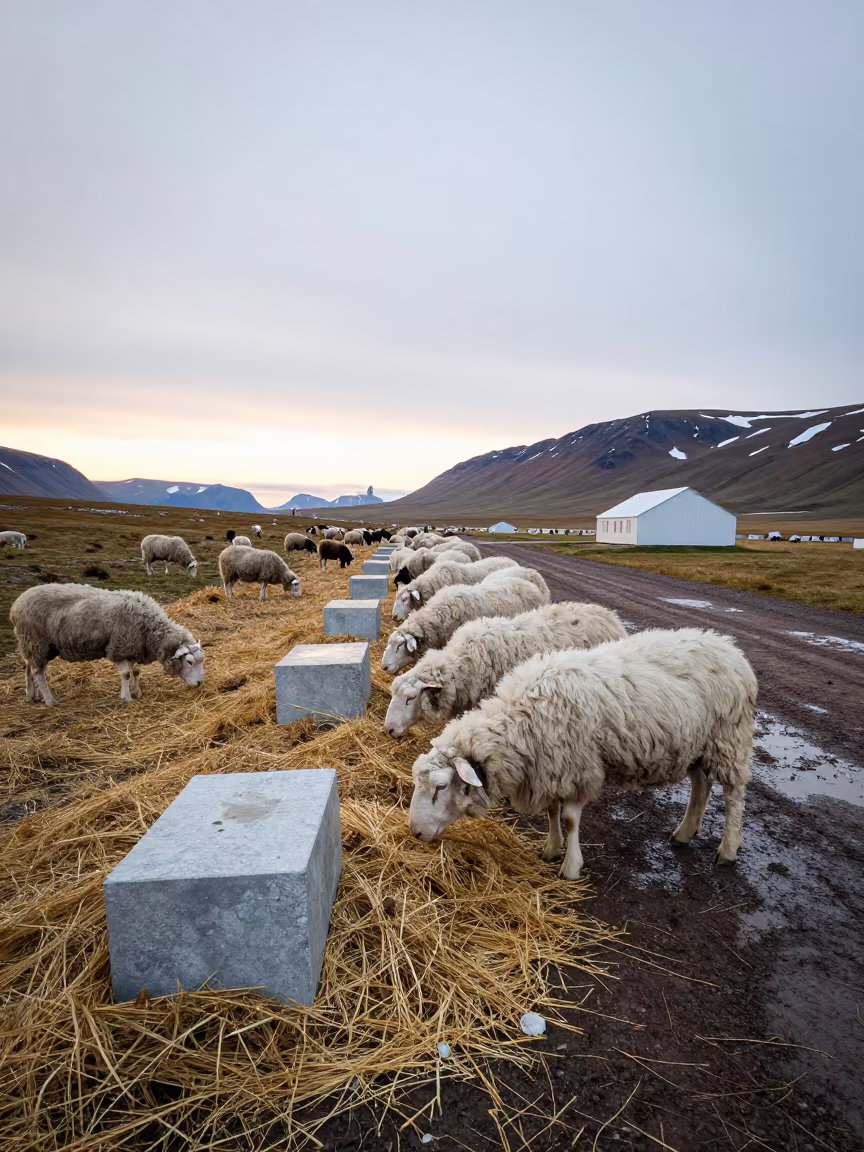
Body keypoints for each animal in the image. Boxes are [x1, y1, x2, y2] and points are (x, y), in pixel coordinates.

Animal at [10, 583, 204, 706]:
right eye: (189, 662)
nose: (200, 683)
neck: (148, 628)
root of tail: (16, 605)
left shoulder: (131, 647)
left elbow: (135, 671)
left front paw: (136, 692)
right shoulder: (118, 647)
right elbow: (126, 674)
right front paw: (126, 697)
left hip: (35, 645)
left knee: (29, 667)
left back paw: (31, 695)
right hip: (36, 641)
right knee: (38, 672)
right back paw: (50, 701)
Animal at [408, 628, 756, 878]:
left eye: (441, 786)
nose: (415, 832)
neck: (521, 721)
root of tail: (731, 648)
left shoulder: (577, 765)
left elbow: (570, 818)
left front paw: (571, 867)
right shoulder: (549, 766)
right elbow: (552, 811)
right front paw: (551, 848)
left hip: (730, 738)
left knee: (734, 794)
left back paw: (728, 849)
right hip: (700, 743)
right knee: (701, 784)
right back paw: (684, 832)